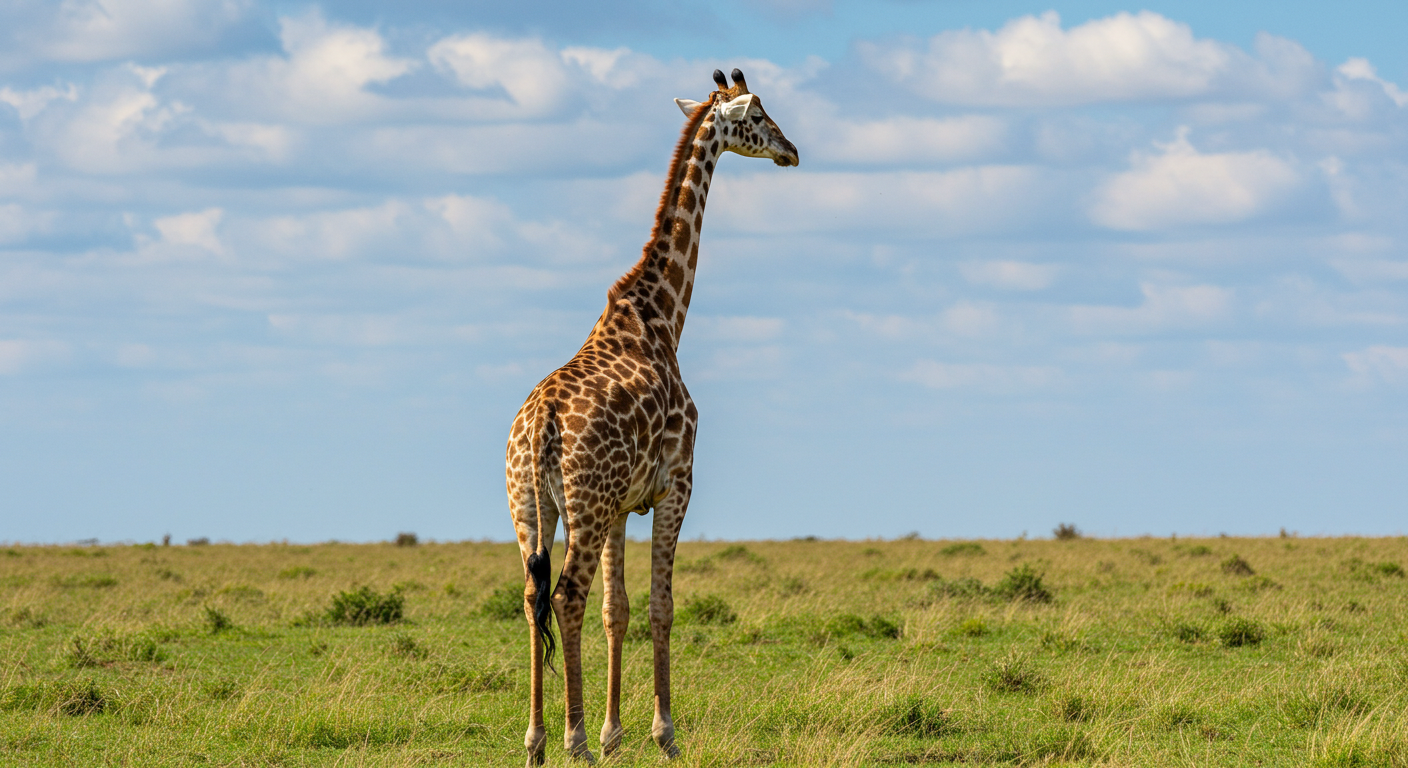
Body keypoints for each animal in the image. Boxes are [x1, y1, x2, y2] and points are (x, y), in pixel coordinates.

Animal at [505, 68, 798, 766]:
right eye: (760, 116)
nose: (792, 151)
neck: (662, 314)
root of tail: (541, 425)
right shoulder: (676, 485)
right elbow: (662, 605)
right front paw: (662, 732)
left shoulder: (620, 505)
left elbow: (620, 610)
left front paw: (617, 733)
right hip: (581, 504)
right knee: (566, 595)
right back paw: (572, 739)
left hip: (532, 506)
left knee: (532, 597)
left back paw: (535, 740)